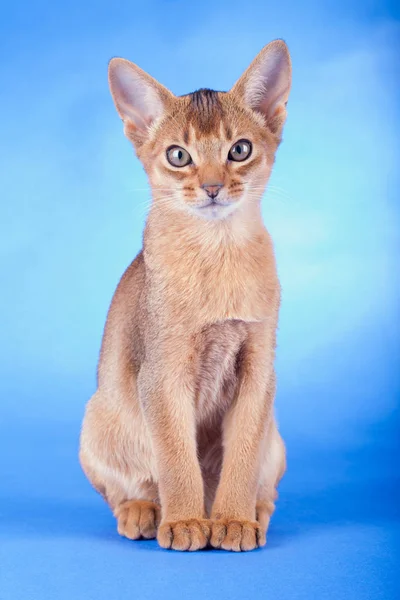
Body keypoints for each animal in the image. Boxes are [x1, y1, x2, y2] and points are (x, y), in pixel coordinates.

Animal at [79, 39, 290, 552]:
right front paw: (184, 521)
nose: (212, 187)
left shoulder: (258, 368)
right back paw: (147, 512)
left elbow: (242, 455)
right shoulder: (163, 373)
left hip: (277, 442)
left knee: (263, 482)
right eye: (179, 156)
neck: (217, 254)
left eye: (240, 150)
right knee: (128, 486)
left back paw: (249, 512)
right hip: (96, 420)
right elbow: (176, 459)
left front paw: (233, 518)